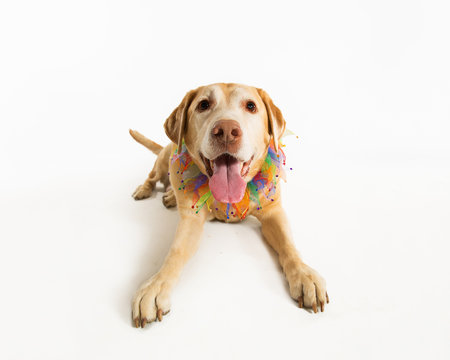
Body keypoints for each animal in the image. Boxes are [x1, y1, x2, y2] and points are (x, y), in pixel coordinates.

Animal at [129, 83, 326, 328]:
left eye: (251, 106)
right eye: (203, 104)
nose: (225, 130)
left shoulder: (273, 213)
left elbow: (289, 245)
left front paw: (303, 274)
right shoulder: (191, 220)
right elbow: (176, 251)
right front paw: (155, 285)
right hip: (165, 158)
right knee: (152, 175)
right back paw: (147, 190)